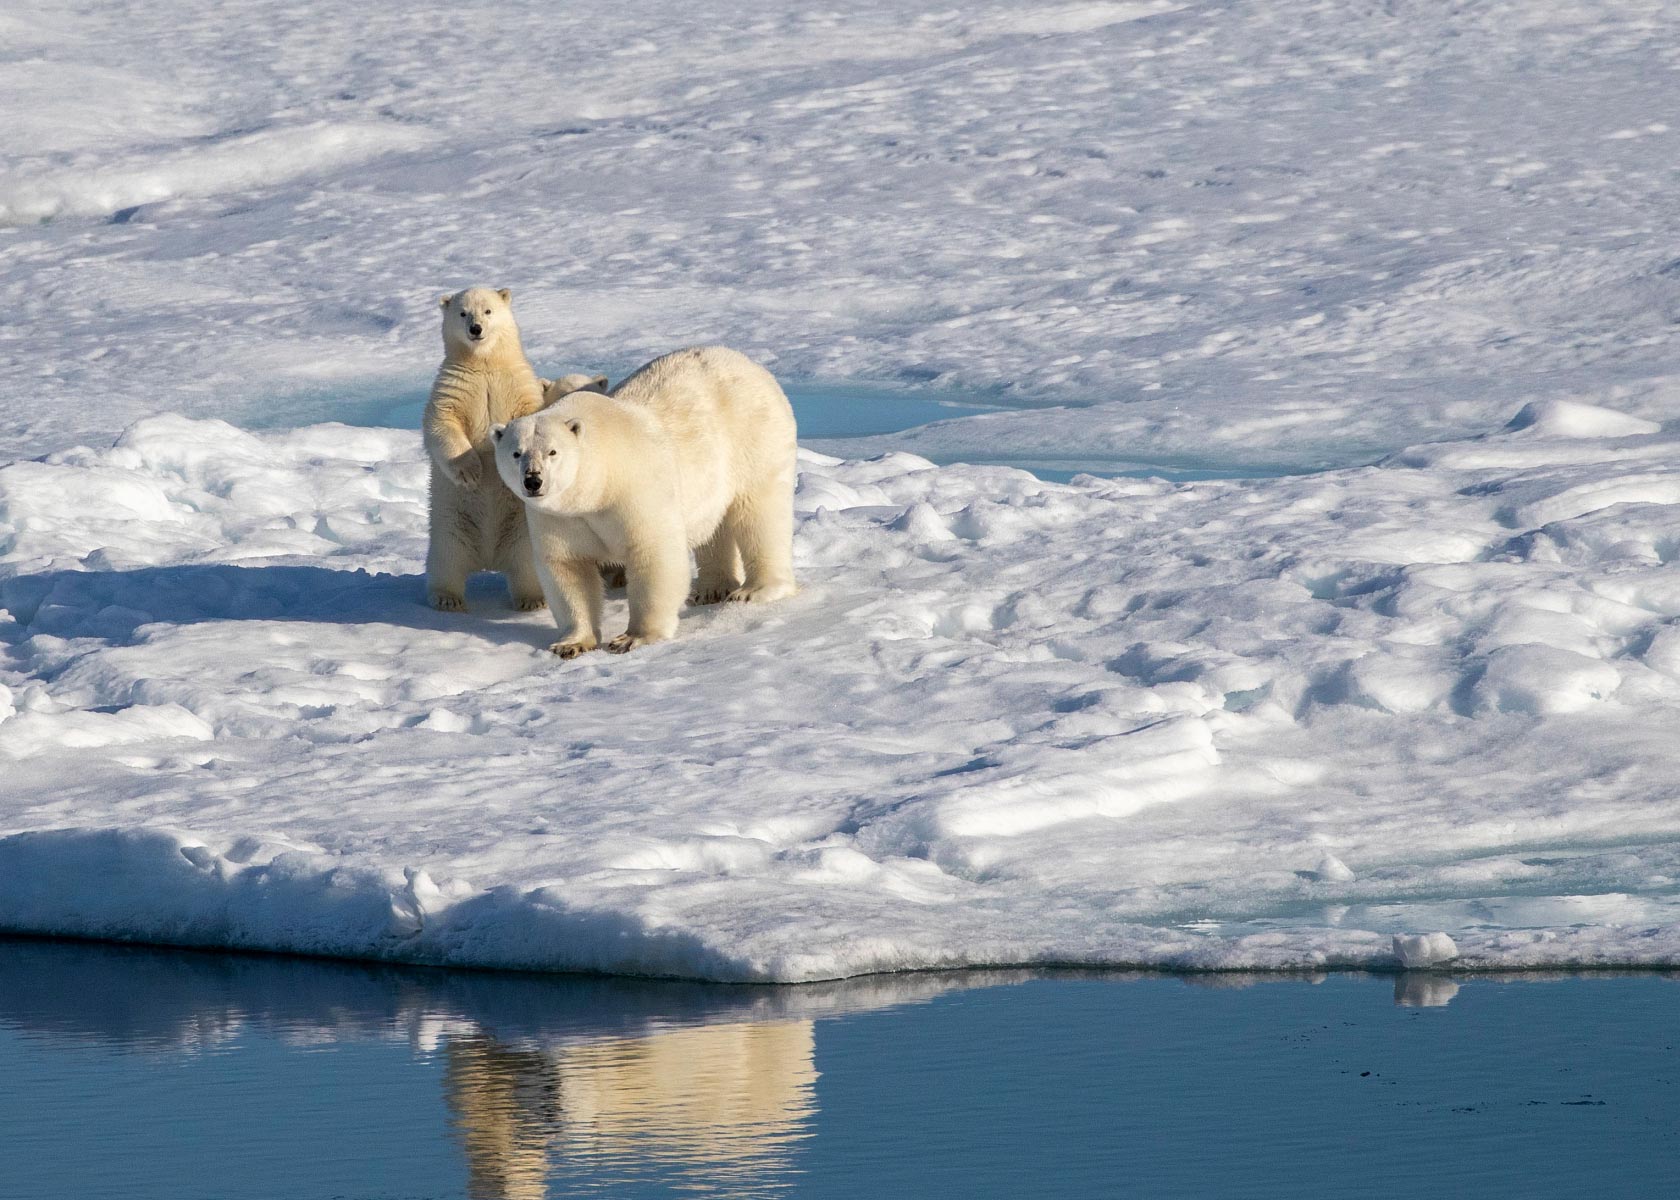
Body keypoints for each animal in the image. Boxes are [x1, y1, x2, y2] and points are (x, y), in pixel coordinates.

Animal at [421, 286, 550, 612]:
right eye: (463, 313)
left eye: (488, 311)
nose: (476, 329)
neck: (485, 366)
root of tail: (489, 560)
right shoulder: (454, 387)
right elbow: (443, 423)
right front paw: (470, 473)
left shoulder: (518, 385)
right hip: (450, 525)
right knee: (447, 562)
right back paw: (447, 598)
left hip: (521, 529)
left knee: (526, 564)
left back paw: (533, 599)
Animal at [492, 345, 798, 656]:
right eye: (516, 453)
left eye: (553, 452)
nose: (533, 481)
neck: (601, 477)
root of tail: (749, 363)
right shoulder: (559, 516)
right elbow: (568, 567)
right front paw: (571, 644)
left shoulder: (635, 489)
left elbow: (654, 554)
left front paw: (632, 639)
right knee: (715, 526)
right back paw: (712, 589)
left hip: (754, 438)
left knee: (759, 512)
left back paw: (754, 590)